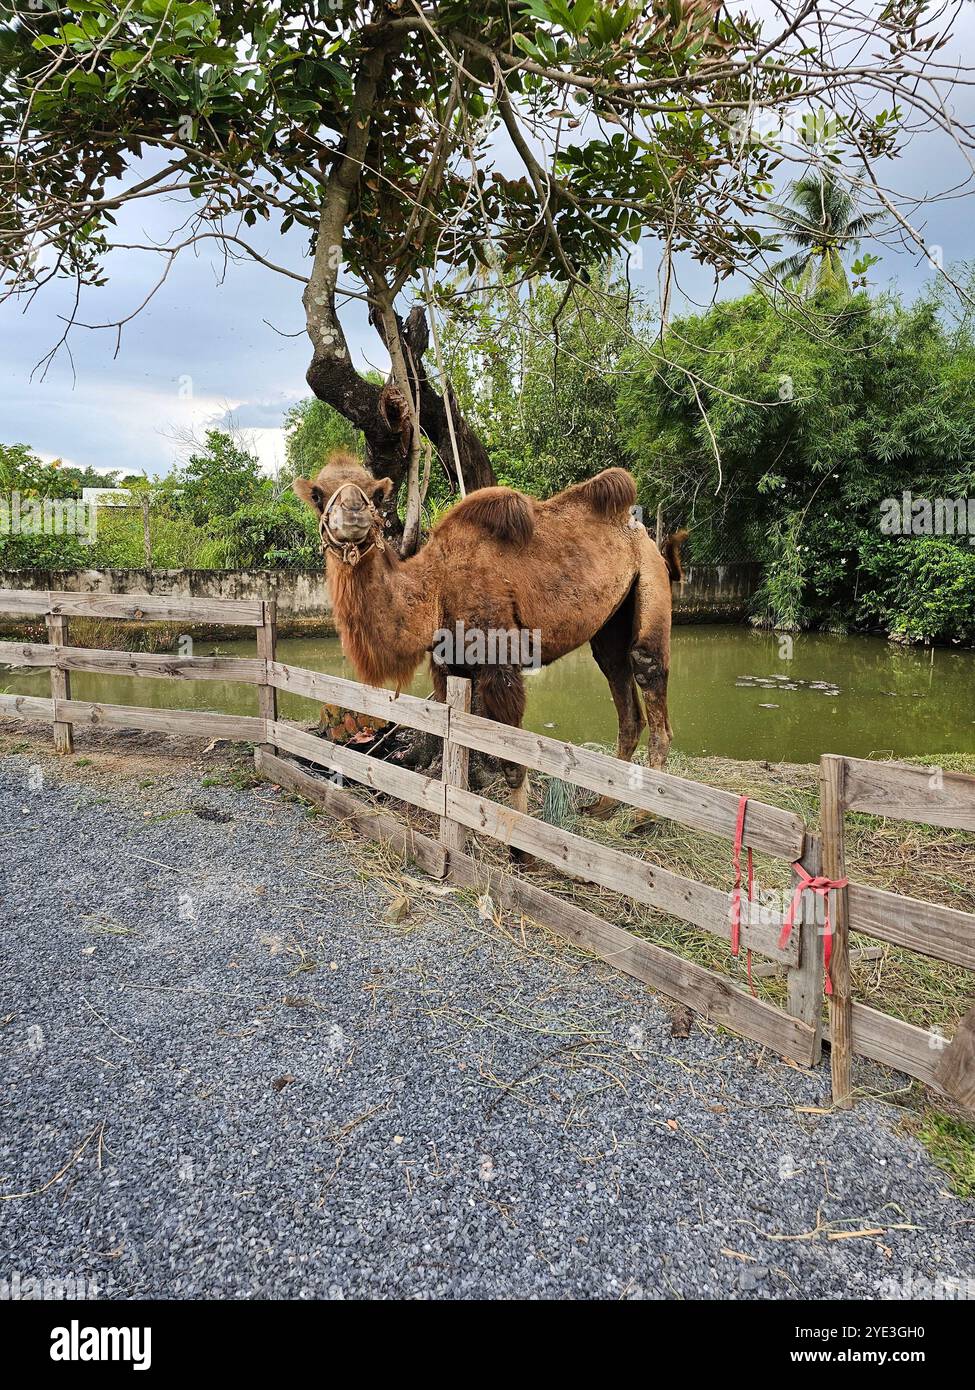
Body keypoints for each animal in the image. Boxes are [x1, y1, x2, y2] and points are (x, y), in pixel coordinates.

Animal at [294, 452, 684, 817]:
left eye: (376, 494)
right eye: (317, 494)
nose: (353, 512)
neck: (436, 587)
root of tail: (641, 528)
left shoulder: (500, 664)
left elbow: (512, 762)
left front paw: (518, 837)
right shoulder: (448, 667)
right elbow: (462, 741)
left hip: (650, 574)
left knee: (647, 667)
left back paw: (643, 818)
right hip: (612, 620)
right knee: (620, 683)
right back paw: (602, 807)